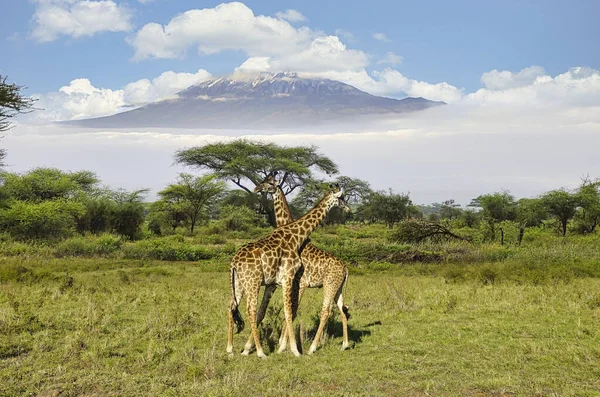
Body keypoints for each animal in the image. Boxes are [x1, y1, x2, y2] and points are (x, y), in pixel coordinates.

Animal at [252, 175, 354, 354]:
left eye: (270, 182)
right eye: (265, 180)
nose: (257, 188)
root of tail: (346, 268)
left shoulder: (300, 284)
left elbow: (291, 311)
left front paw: (283, 346)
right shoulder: (285, 284)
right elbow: (281, 311)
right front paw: (282, 344)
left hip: (329, 285)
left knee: (326, 311)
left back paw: (313, 347)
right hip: (338, 288)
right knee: (343, 310)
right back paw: (344, 344)